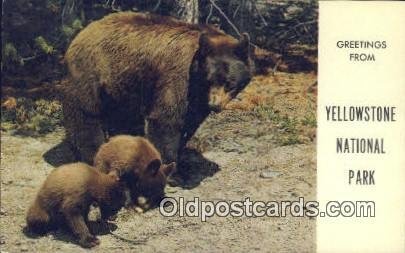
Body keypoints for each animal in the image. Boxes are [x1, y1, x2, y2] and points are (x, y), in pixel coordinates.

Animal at [63, 10, 252, 176]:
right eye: (209, 80)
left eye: (229, 82)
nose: (214, 105)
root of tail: (82, 32)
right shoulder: (178, 77)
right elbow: (166, 119)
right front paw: (170, 170)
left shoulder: (196, 98)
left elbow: (190, 122)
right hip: (91, 70)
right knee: (86, 114)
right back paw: (91, 154)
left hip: (122, 86)